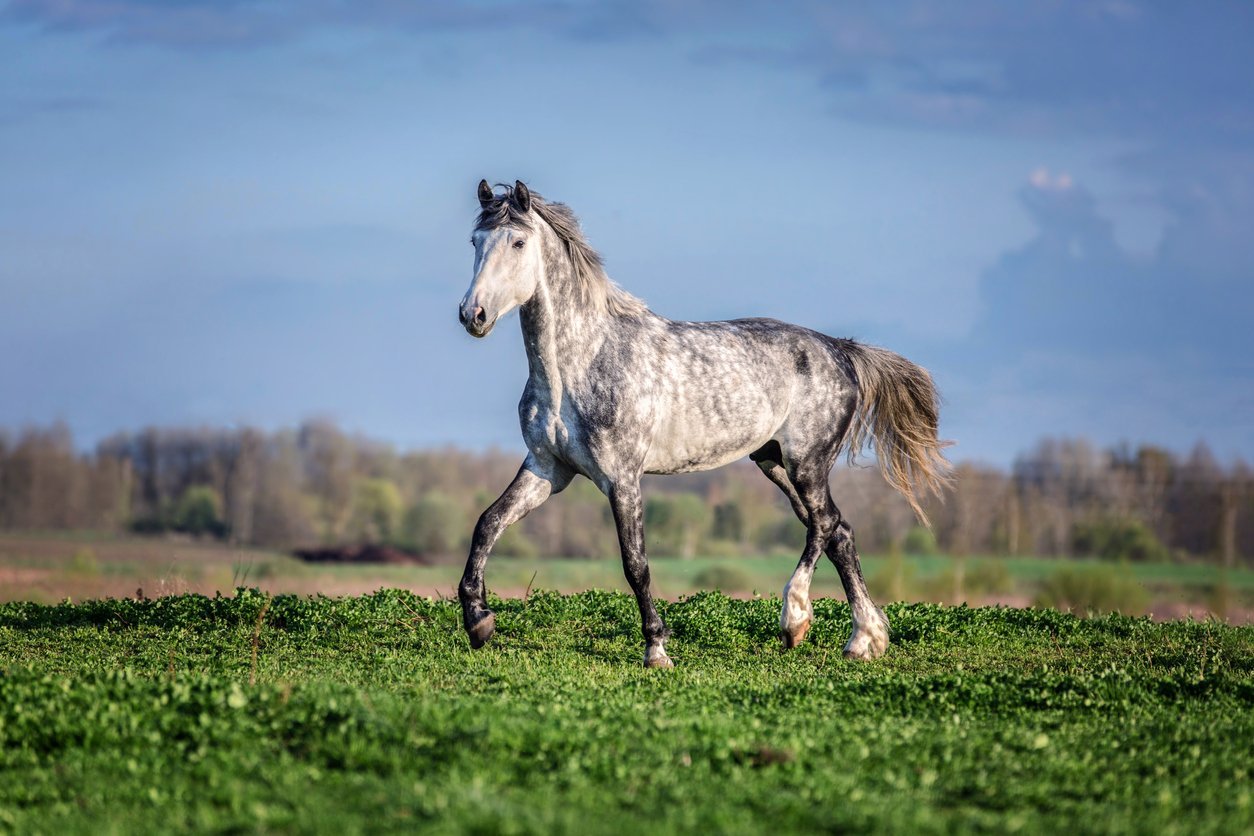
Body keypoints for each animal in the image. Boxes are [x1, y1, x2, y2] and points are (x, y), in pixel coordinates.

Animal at [456, 180, 943, 671]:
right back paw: (864, 640)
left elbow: (636, 564)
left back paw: (796, 620)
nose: (472, 315)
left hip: (808, 463)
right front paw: (478, 621)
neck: (580, 366)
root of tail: (840, 349)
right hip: (773, 462)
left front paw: (656, 649)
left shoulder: (622, 478)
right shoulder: (547, 470)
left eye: (518, 243)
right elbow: (487, 523)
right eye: (475, 242)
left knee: (823, 525)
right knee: (839, 531)